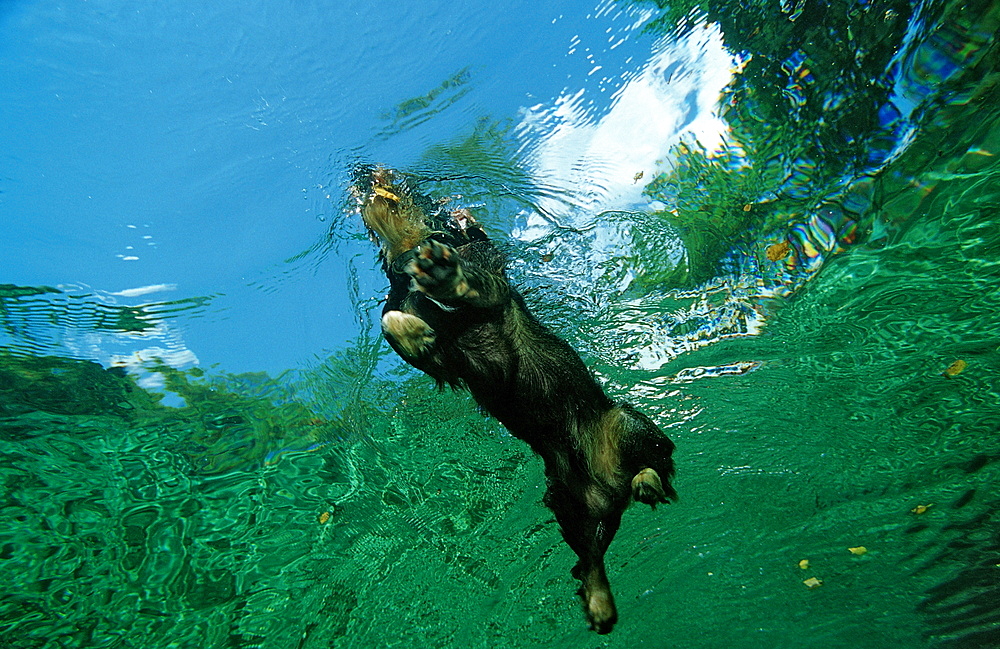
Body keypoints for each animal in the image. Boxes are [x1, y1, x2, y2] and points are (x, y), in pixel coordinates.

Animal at [352, 167, 680, 632]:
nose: (365, 174)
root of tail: (609, 485)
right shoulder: (444, 359)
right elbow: (395, 324)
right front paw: (412, 330)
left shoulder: (489, 285)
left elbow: (471, 282)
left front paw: (442, 271)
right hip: (565, 501)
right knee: (589, 558)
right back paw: (599, 602)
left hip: (625, 423)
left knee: (659, 462)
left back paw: (647, 481)